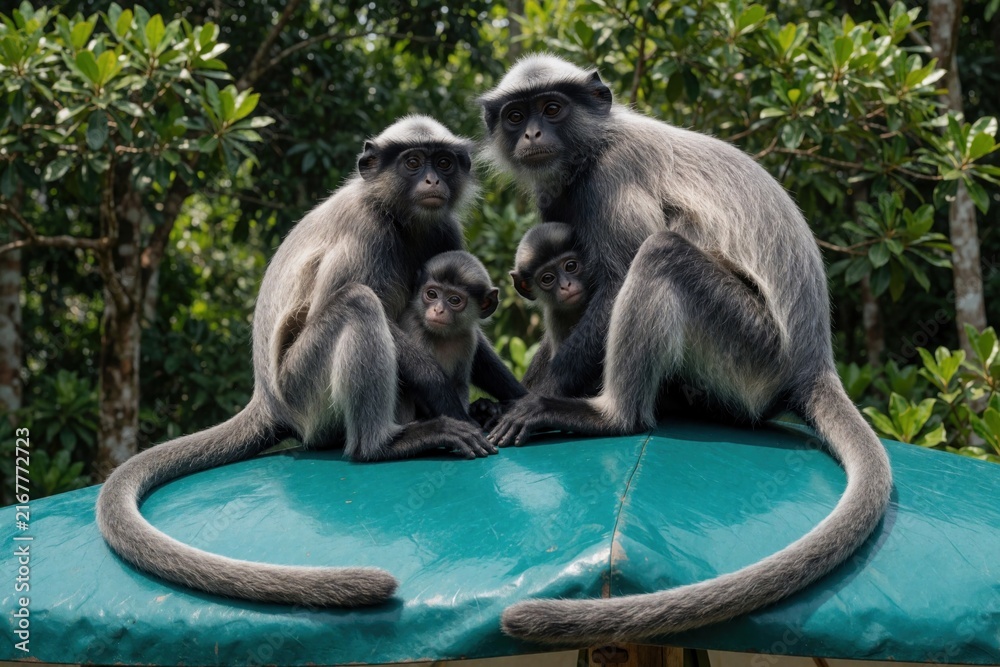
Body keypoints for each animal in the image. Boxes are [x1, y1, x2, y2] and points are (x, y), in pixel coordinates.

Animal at [396, 250, 500, 424]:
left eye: (454, 300)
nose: (438, 310)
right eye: (432, 294)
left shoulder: (468, 338)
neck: (444, 336)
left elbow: (459, 384)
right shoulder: (414, 328)